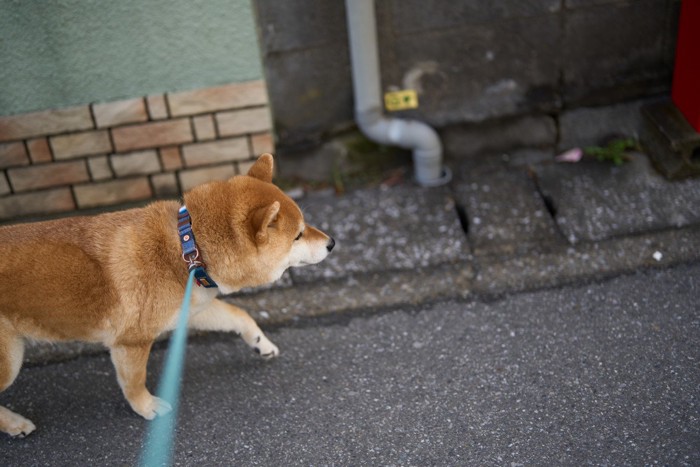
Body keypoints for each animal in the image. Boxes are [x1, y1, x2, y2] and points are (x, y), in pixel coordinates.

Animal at [0, 155, 336, 436]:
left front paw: (260, 343)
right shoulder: (131, 342)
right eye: (298, 235)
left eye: (305, 226)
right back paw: (15, 424)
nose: (332, 242)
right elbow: (134, 382)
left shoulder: (193, 307)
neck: (188, 248)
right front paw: (147, 407)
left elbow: (240, 316)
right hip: (10, 360)